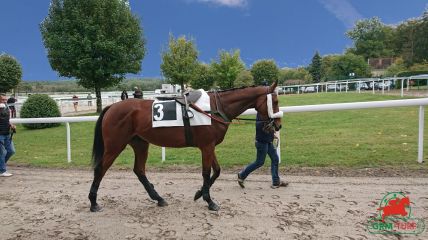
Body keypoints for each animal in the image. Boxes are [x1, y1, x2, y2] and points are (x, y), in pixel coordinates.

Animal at [88, 81, 282, 212]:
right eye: (276, 102)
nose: (278, 125)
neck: (214, 108)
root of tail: (111, 107)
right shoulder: (206, 146)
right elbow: (206, 172)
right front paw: (209, 201)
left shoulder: (210, 146)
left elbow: (217, 171)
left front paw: (199, 193)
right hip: (115, 145)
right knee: (100, 169)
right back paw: (93, 202)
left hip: (140, 144)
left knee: (139, 170)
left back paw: (158, 198)